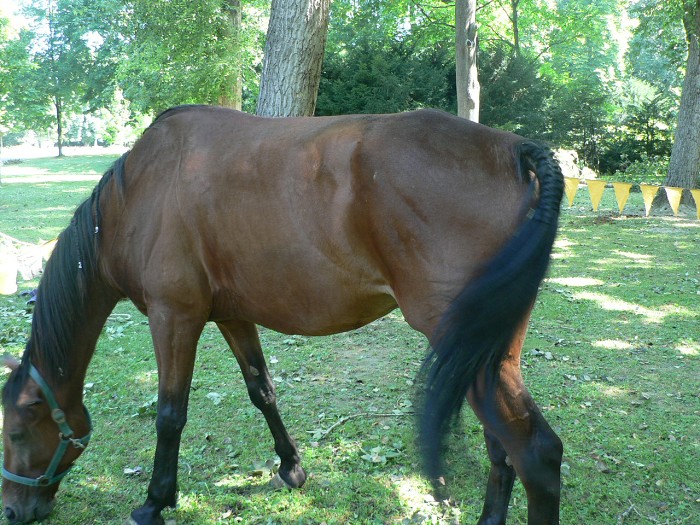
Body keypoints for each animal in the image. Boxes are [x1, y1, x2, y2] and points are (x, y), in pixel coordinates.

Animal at [0, 104, 564, 520]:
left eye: (15, 433)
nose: (13, 511)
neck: (140, 194)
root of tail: (513, 149)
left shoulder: (173, 317)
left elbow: (170, 414)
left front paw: (155, 501)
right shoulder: (231, 315)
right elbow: (262, 390)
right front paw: (292, 468)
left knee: (536, 454)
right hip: (479, 353)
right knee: (503, 450)